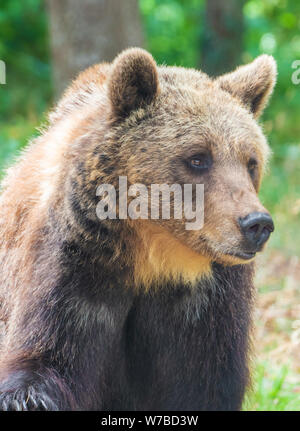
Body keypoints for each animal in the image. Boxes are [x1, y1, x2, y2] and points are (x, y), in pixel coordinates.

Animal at [0, 48, 276, 412]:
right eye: (198, 157)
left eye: (251, 161)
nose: (256, 224)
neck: (152, 256)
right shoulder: (75, 269)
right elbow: (45, 362)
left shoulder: (207, 303)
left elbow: (204, 383)